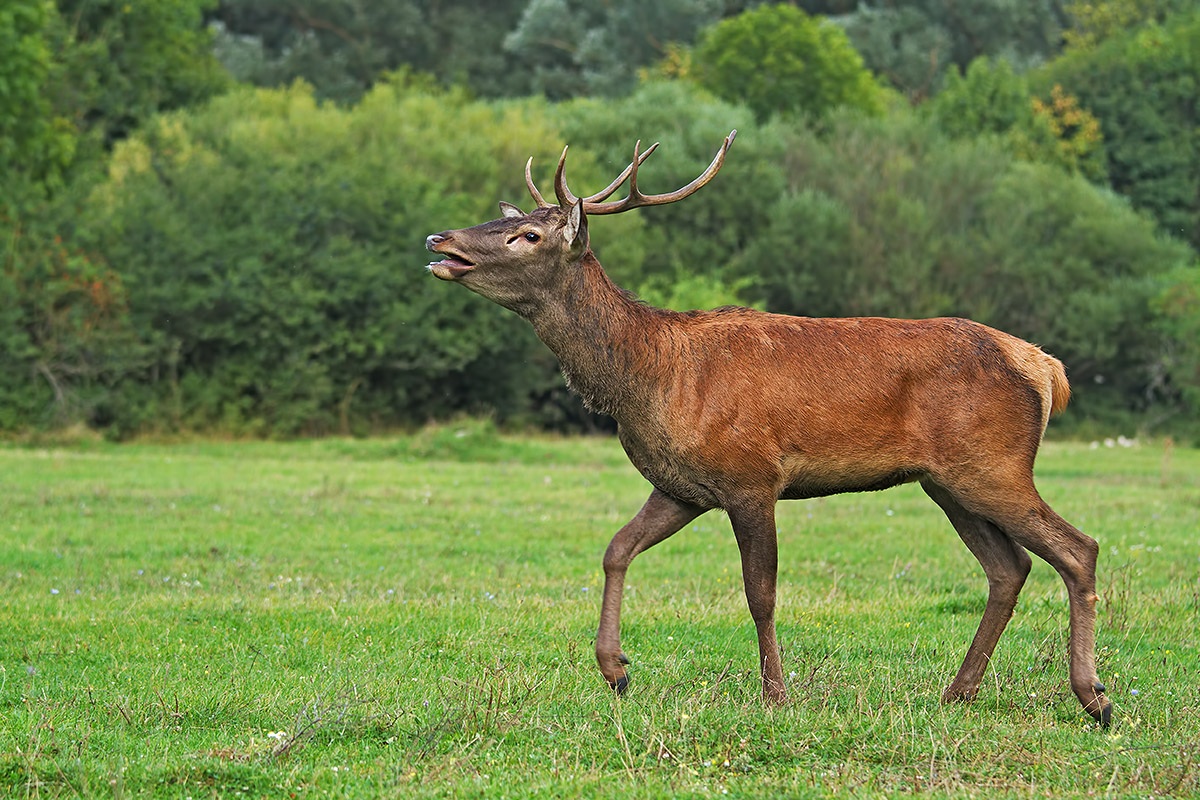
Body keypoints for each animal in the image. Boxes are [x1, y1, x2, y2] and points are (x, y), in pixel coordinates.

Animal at [425, 130, 1112, 727]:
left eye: (528, 233)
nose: (440, 238)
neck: (649, 377)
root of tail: (1045, 368)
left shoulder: (752, 477)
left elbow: (761, 591)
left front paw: (776, 694)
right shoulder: (681, 486)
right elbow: (616, 548)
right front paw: (616, 669)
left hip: (993, 464)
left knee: (1077, 548)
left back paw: (1094, 697)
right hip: (946, 481)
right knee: (1009, 569)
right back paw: (958, 692)